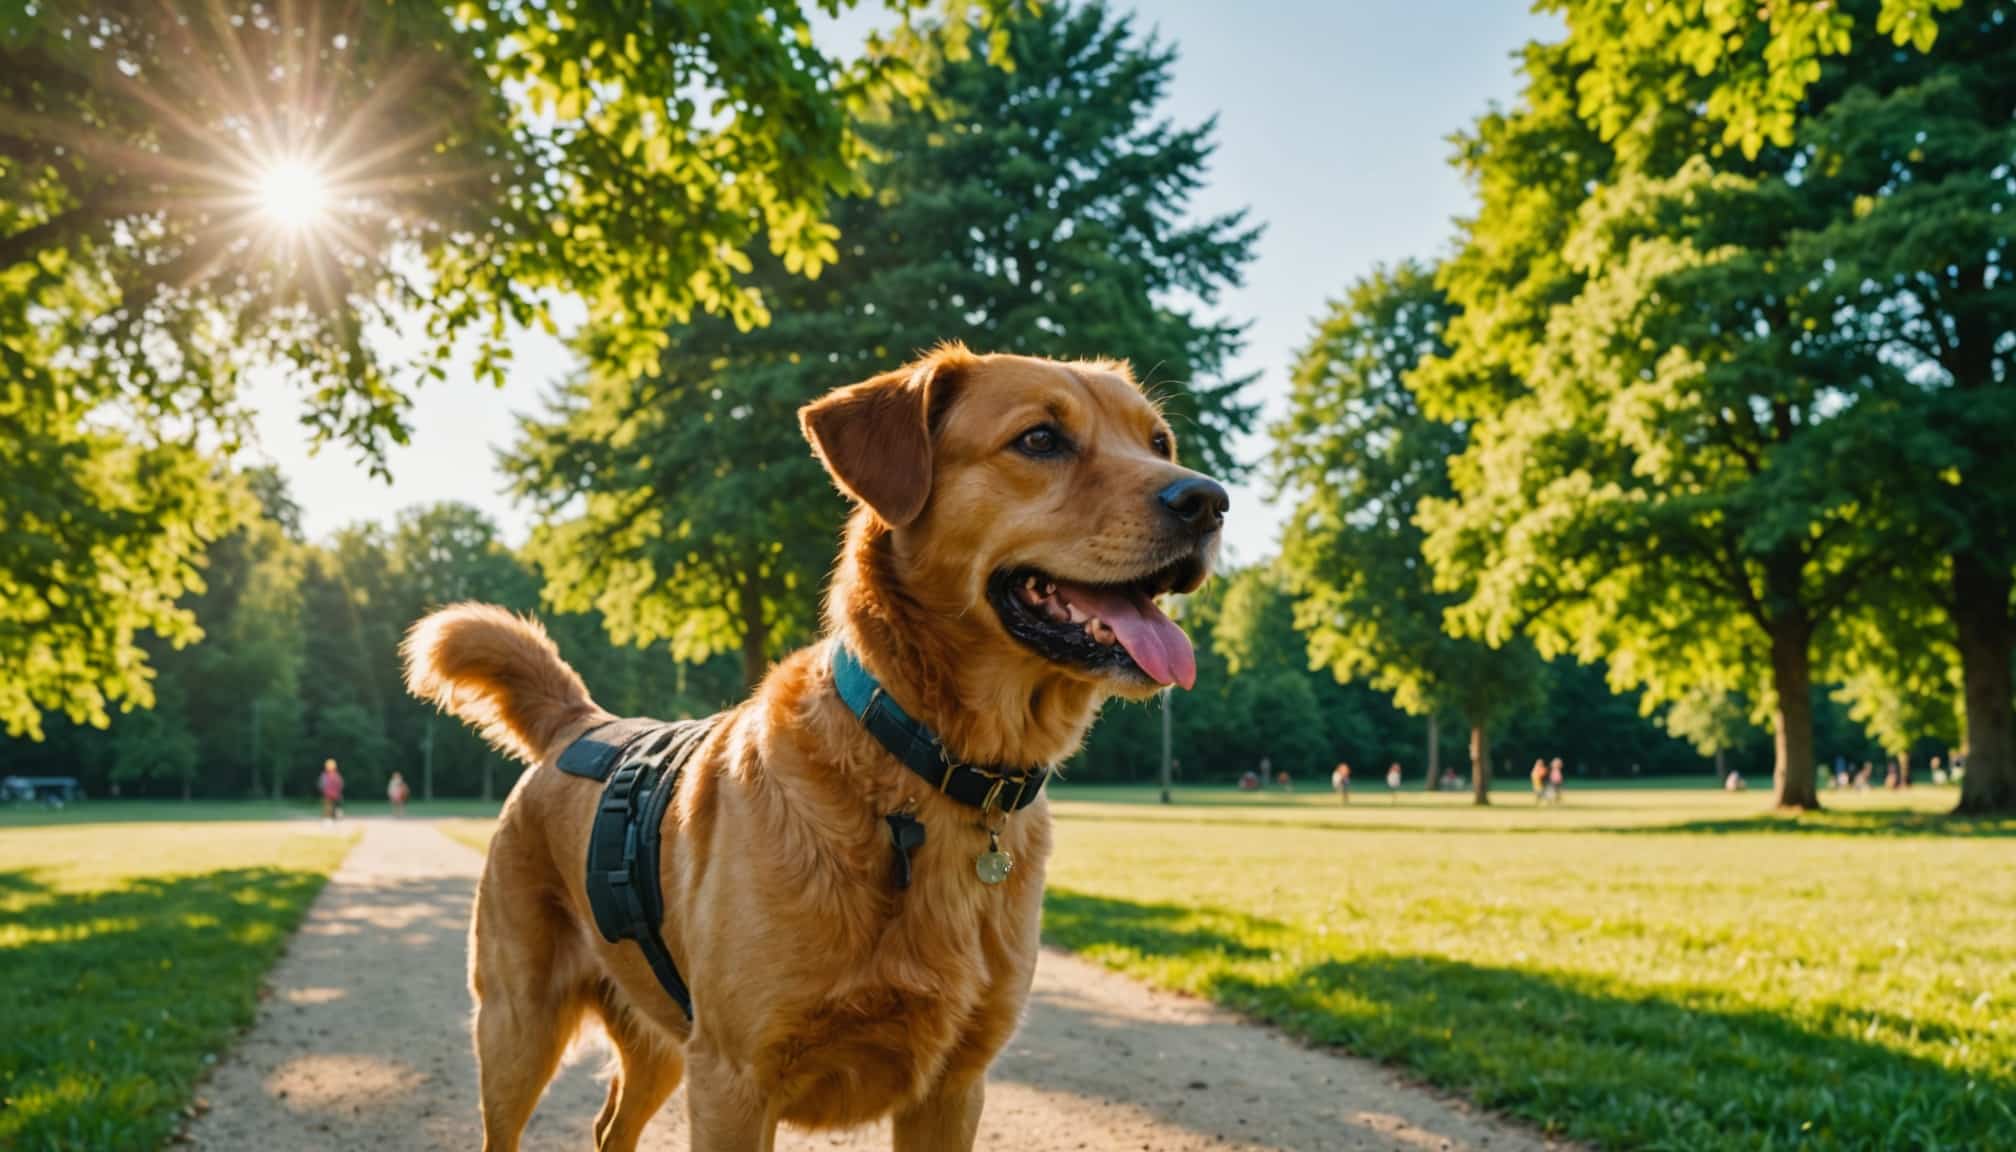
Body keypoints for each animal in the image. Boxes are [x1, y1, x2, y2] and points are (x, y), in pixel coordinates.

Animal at [405, 344, 1225, 1152]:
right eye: (1040, 439)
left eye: (1159, 443)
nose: (1210, 500)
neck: (929, 763)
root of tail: (581, 720)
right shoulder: (734, 1081)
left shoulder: (953, 1088)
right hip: (520, 1026)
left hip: (658, 1038)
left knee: (610, 1124)